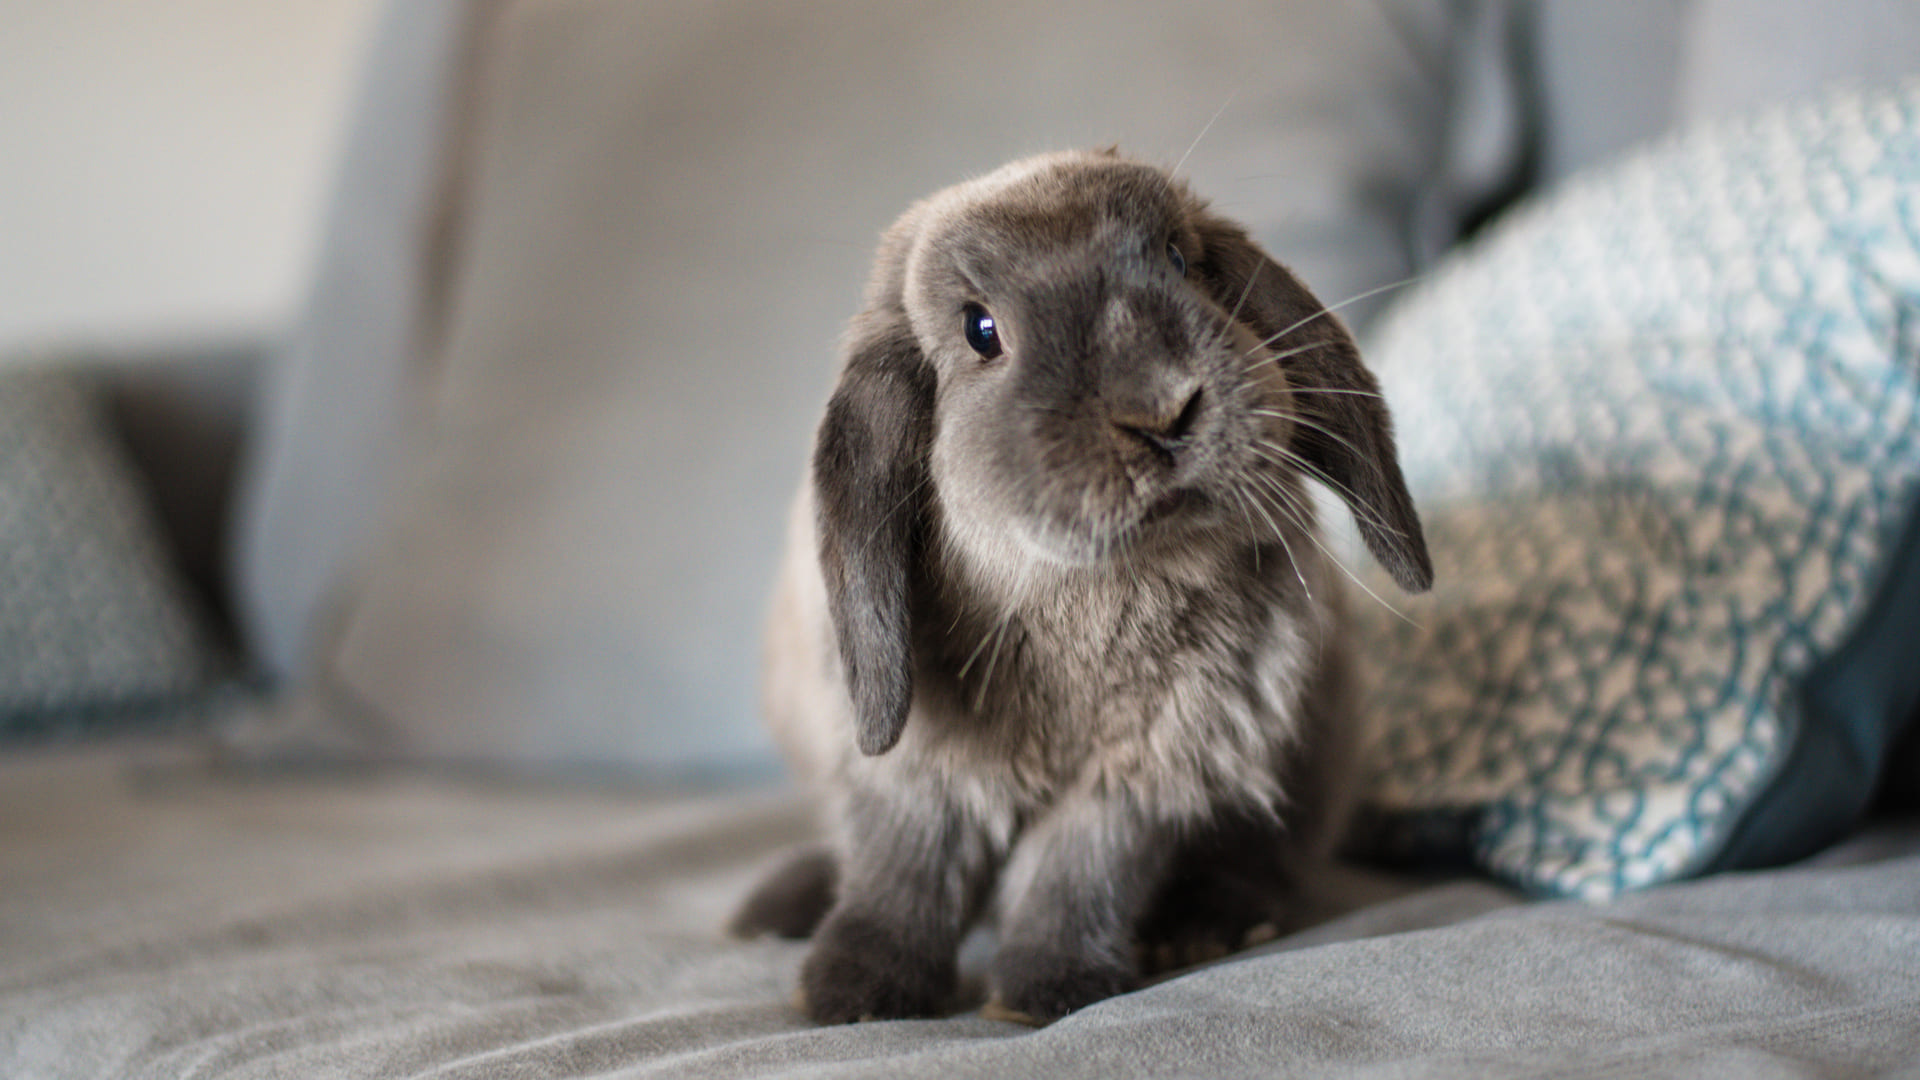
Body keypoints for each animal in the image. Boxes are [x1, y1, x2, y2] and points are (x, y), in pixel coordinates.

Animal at [729, 149, 1433, 1026]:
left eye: (1179, 260)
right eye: (981, 330)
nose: (1163, 409)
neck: (1089, 593)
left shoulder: (1143, 774)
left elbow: (1077, 874)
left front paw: (1045, 993)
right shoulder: (915, 771)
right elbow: (904, 869)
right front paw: (851, 993)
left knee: (1268, 861)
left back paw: (1205, 927)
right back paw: (776, 908)